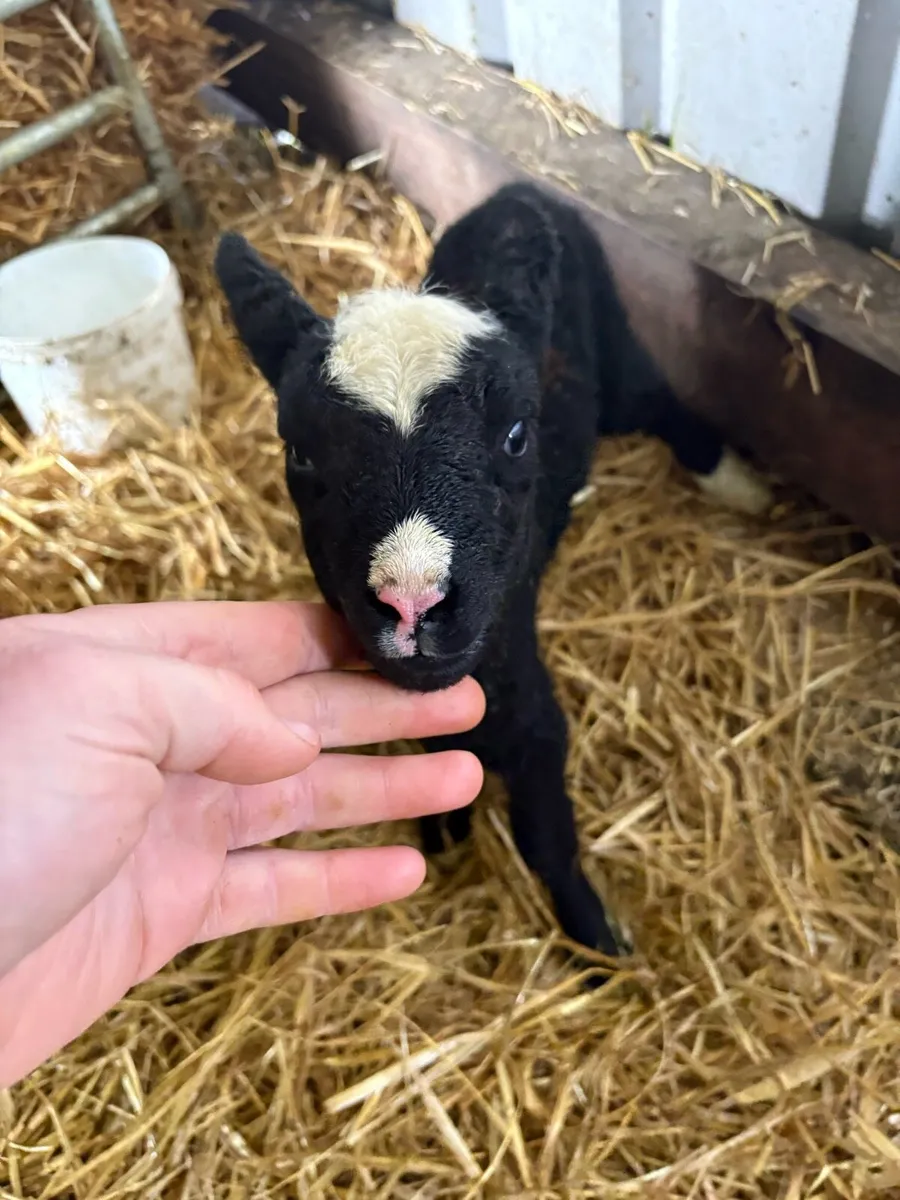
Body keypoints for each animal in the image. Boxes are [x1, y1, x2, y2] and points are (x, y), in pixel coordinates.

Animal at [215, 180, 771, 969]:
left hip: (615, 342)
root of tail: (517, 192)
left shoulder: (534, 711)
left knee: (655, 399)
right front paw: (447, 826)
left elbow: (546, 837)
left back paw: (738, 485)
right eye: (301, 454)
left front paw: (595, 937)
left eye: (516, 436)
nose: (411, 605)